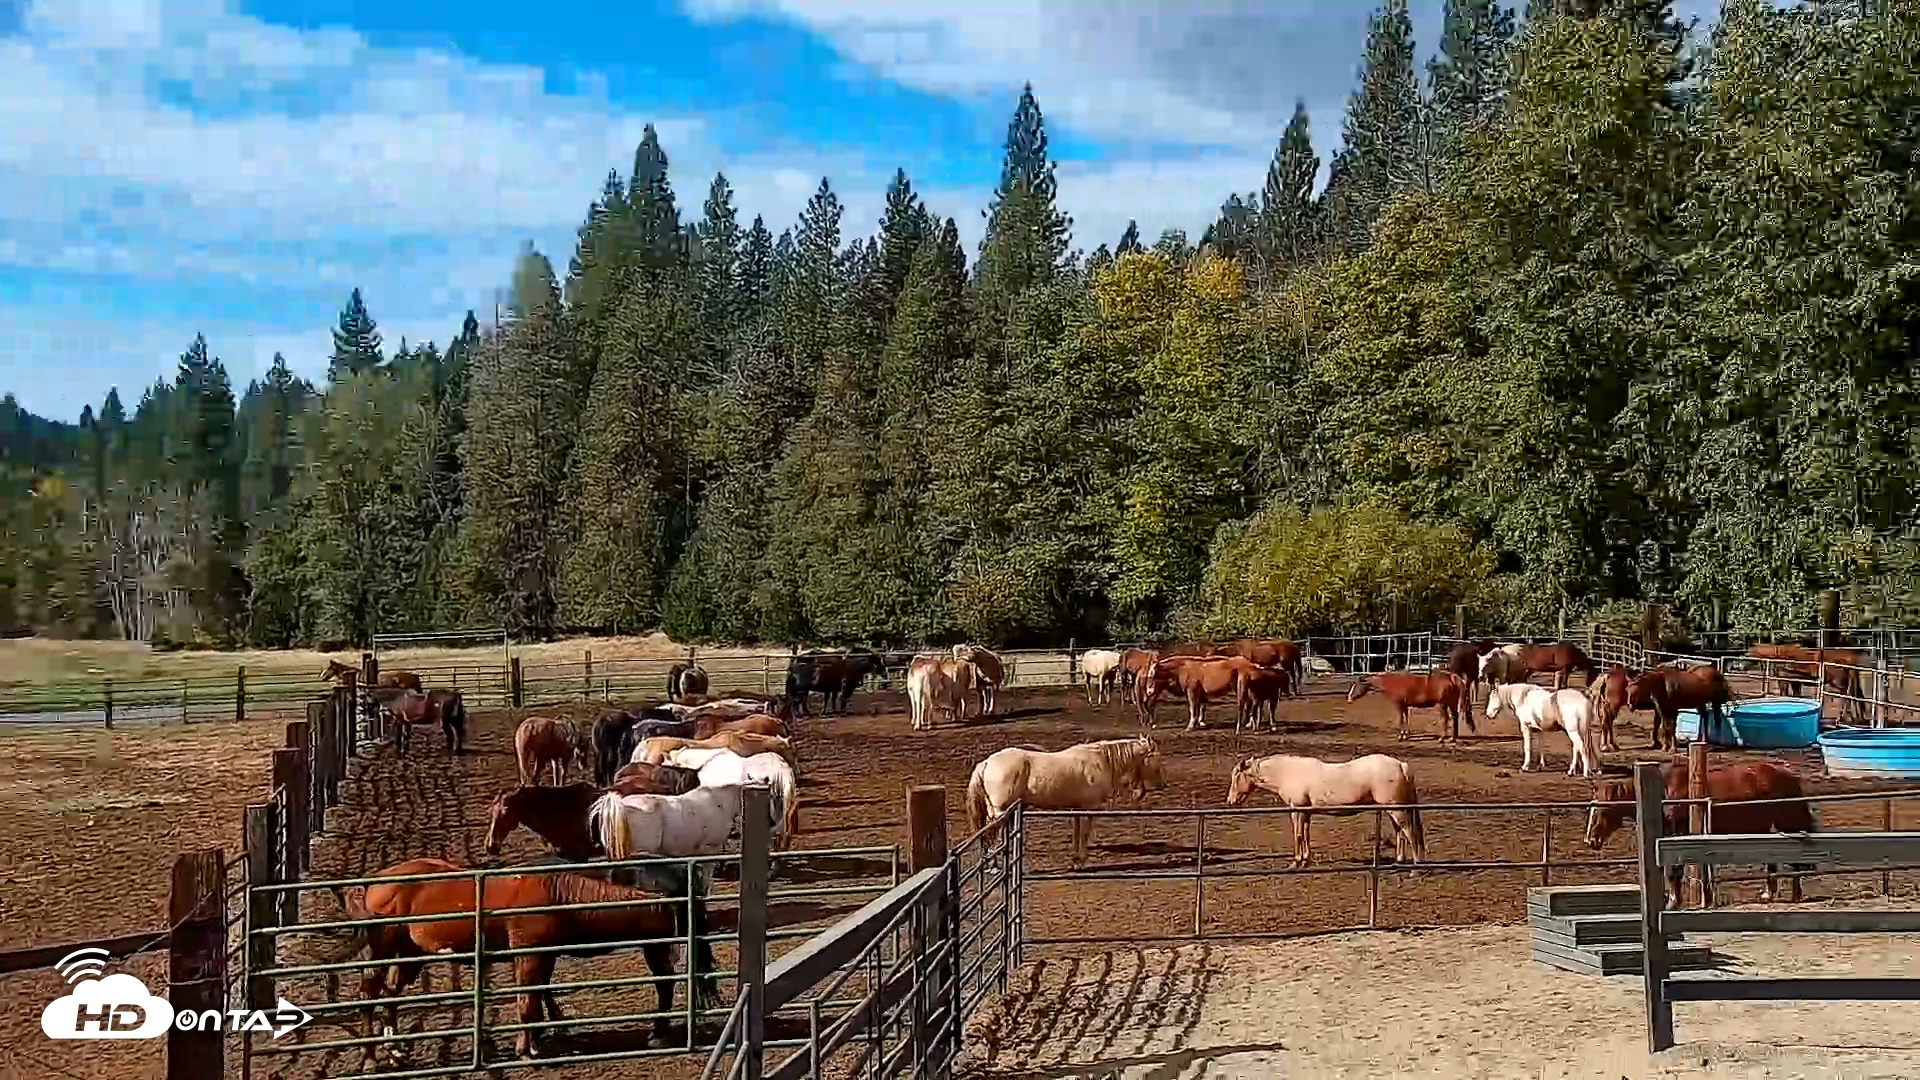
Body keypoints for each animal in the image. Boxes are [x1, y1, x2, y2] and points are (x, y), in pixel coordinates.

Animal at [338, 857, 698, 1059]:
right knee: (369, 995)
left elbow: (537, 997)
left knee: (390, 995)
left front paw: (539, 1036)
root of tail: (375, 883)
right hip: (383, 952)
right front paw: (527, 1049)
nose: (671, 966)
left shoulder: (540, 957)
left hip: (409, 955)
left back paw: (394, 1048)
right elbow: (527, 1003)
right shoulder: (530, 955)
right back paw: (370, 1057)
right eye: (664, 932)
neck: (559, 896)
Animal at [967, 738, 1165, 868]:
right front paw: (1081, 860)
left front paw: (1076, 858)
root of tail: (986, 763)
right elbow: (1085, 833)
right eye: (1156, 758)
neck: (1101, 762)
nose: (1162, 784)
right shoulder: (1090, 808)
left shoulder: (1076, 808)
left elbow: (1077, 832)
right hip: (1000, 811)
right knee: (991, 834)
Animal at [1226, 753, 1426, 866]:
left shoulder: (1297, 810)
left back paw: (1416, 866)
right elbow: (1305, 835)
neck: (1288, 773)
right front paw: (1305, 859)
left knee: (1409, 832)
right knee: (1400, 833)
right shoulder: (1306, 812)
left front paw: (1296, 862)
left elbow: (1298, 834)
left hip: (1397, 810)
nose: (1231, 801)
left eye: (1237, 776)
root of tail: (1401, 765)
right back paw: (1399, 861)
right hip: (1393, 809)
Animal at [1587, 761, 1818, 908]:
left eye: (1602, 809)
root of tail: (1789, 777)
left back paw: (1794, 895)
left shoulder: (1676, 837)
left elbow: (1674, 872)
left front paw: (1673, 903)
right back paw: (1771, 894)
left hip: (1787, 825)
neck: (1665, 793)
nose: (1590, 840)